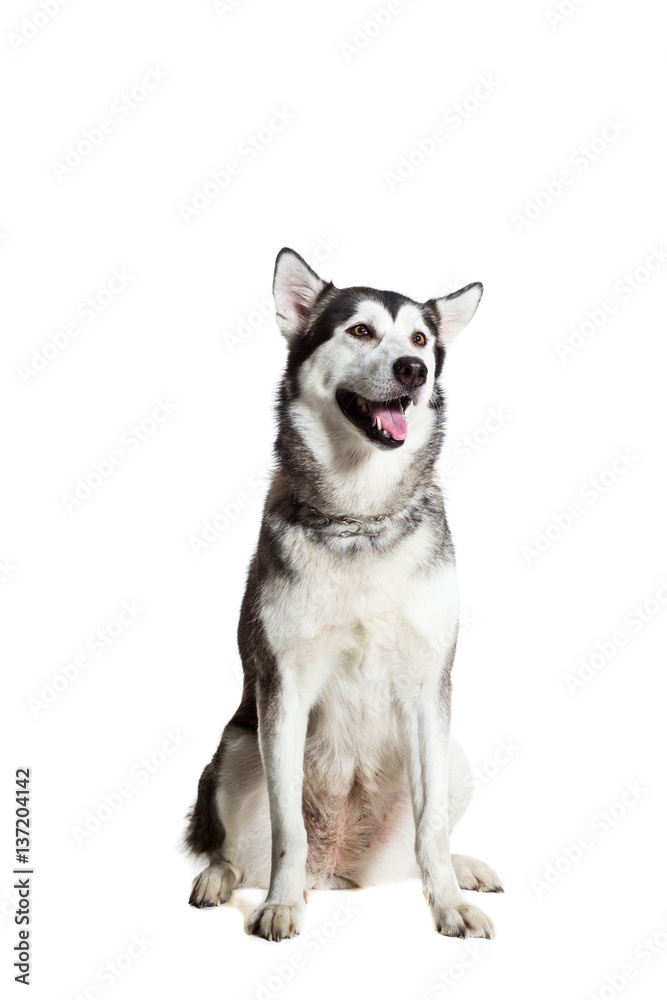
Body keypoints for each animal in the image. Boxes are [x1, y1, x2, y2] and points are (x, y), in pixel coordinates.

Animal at [185, 248, 504, 936]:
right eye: (360, 331)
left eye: (420, 340)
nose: (413, 370)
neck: (361, 515)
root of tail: (338, 869)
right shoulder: (282, 687)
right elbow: (287, 829)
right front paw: (280, 904)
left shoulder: (428, 689)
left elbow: (432, 828)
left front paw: (449, 904)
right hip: (235, 746)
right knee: (234, 848)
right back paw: (220, 879)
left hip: (454, 756)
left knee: (422, 847)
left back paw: (462, 869)